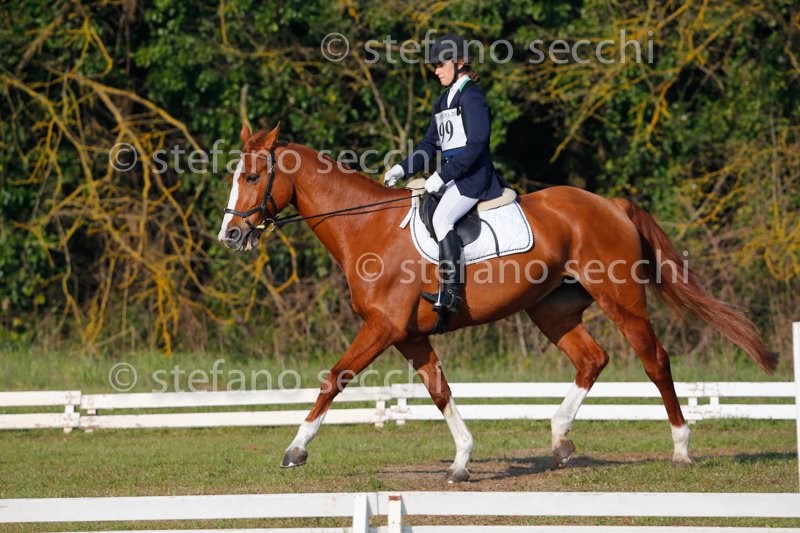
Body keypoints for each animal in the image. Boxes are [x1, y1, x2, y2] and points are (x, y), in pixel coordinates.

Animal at [218, 122, 777, 483]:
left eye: (252, 178)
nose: (230, 236)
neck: (366, 226)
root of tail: (609, 203)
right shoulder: (409, 335)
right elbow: (439, 390)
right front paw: (462, 460)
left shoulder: (383, 327)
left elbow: (334, 378)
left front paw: (295, 450)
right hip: (550, 309)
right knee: (592, 359)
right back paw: (560, 440)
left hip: (621, 301)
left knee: (654, 360)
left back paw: (681, 449)